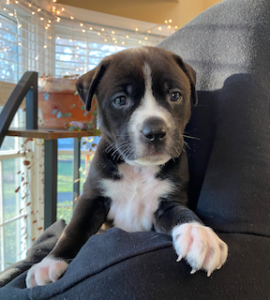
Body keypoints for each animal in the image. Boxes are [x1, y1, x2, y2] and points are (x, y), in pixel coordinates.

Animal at [25, 45, 228, 288]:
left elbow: (183, 213)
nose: (155, 132)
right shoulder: (92, 198)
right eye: (121, 100)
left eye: (175, 96)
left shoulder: (169, 202)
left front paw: (200, 236)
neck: (138, 169)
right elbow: (73, 229)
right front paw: (49, 262)